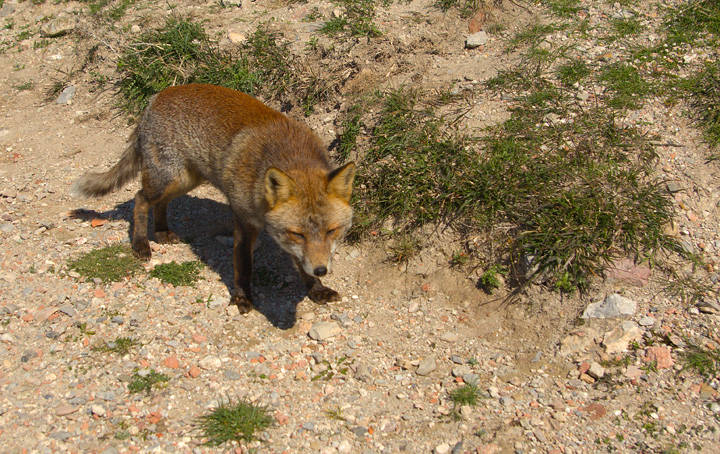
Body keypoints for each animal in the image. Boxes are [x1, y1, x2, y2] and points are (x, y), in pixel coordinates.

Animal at [72, 84, 354, 312]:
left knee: (158, 203)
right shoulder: (243, 218)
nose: (322, 270)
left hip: (186, 180)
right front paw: (242, 298)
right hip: (169, 178)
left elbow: (300, 265)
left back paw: (161, 231)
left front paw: (316, 288)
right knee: (140, 199)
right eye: (298, 234)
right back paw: (141, 243)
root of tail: (158, 95)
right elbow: (242, 264)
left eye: (332, 231)